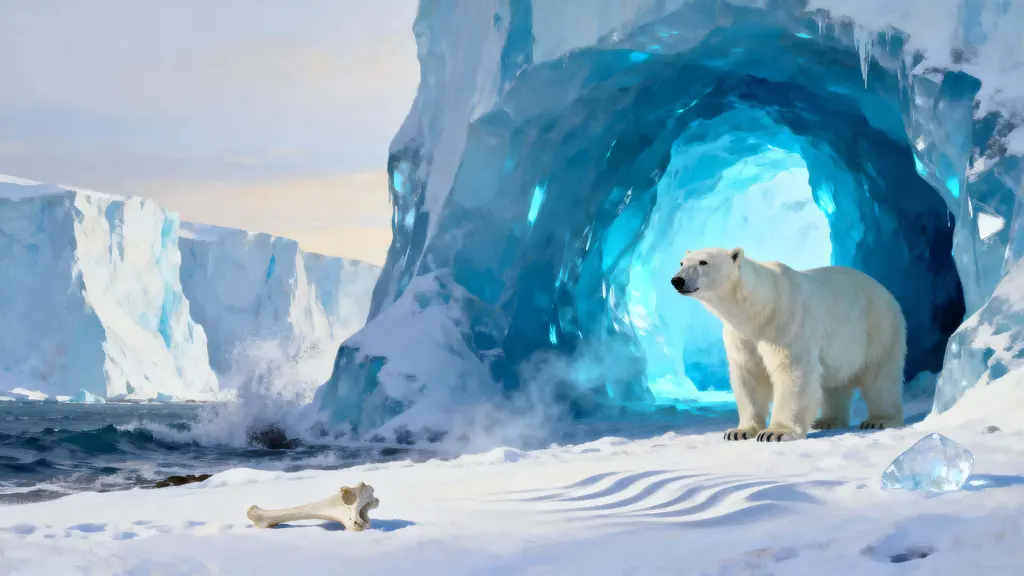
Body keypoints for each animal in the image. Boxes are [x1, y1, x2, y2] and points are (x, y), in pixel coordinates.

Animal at [671, 247, 906, 442]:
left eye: (703, 262)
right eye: (682, 262)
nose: (677, 280)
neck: (758, 309)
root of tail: (886, 291)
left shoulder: (785, 323)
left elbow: (791, 370)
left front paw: (775, 432)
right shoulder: (741, 336)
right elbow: (749, 375)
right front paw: (739, 431)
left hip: (878, 327)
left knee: (880, 377)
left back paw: (880, 419)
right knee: (834, 383)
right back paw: (827, 420)